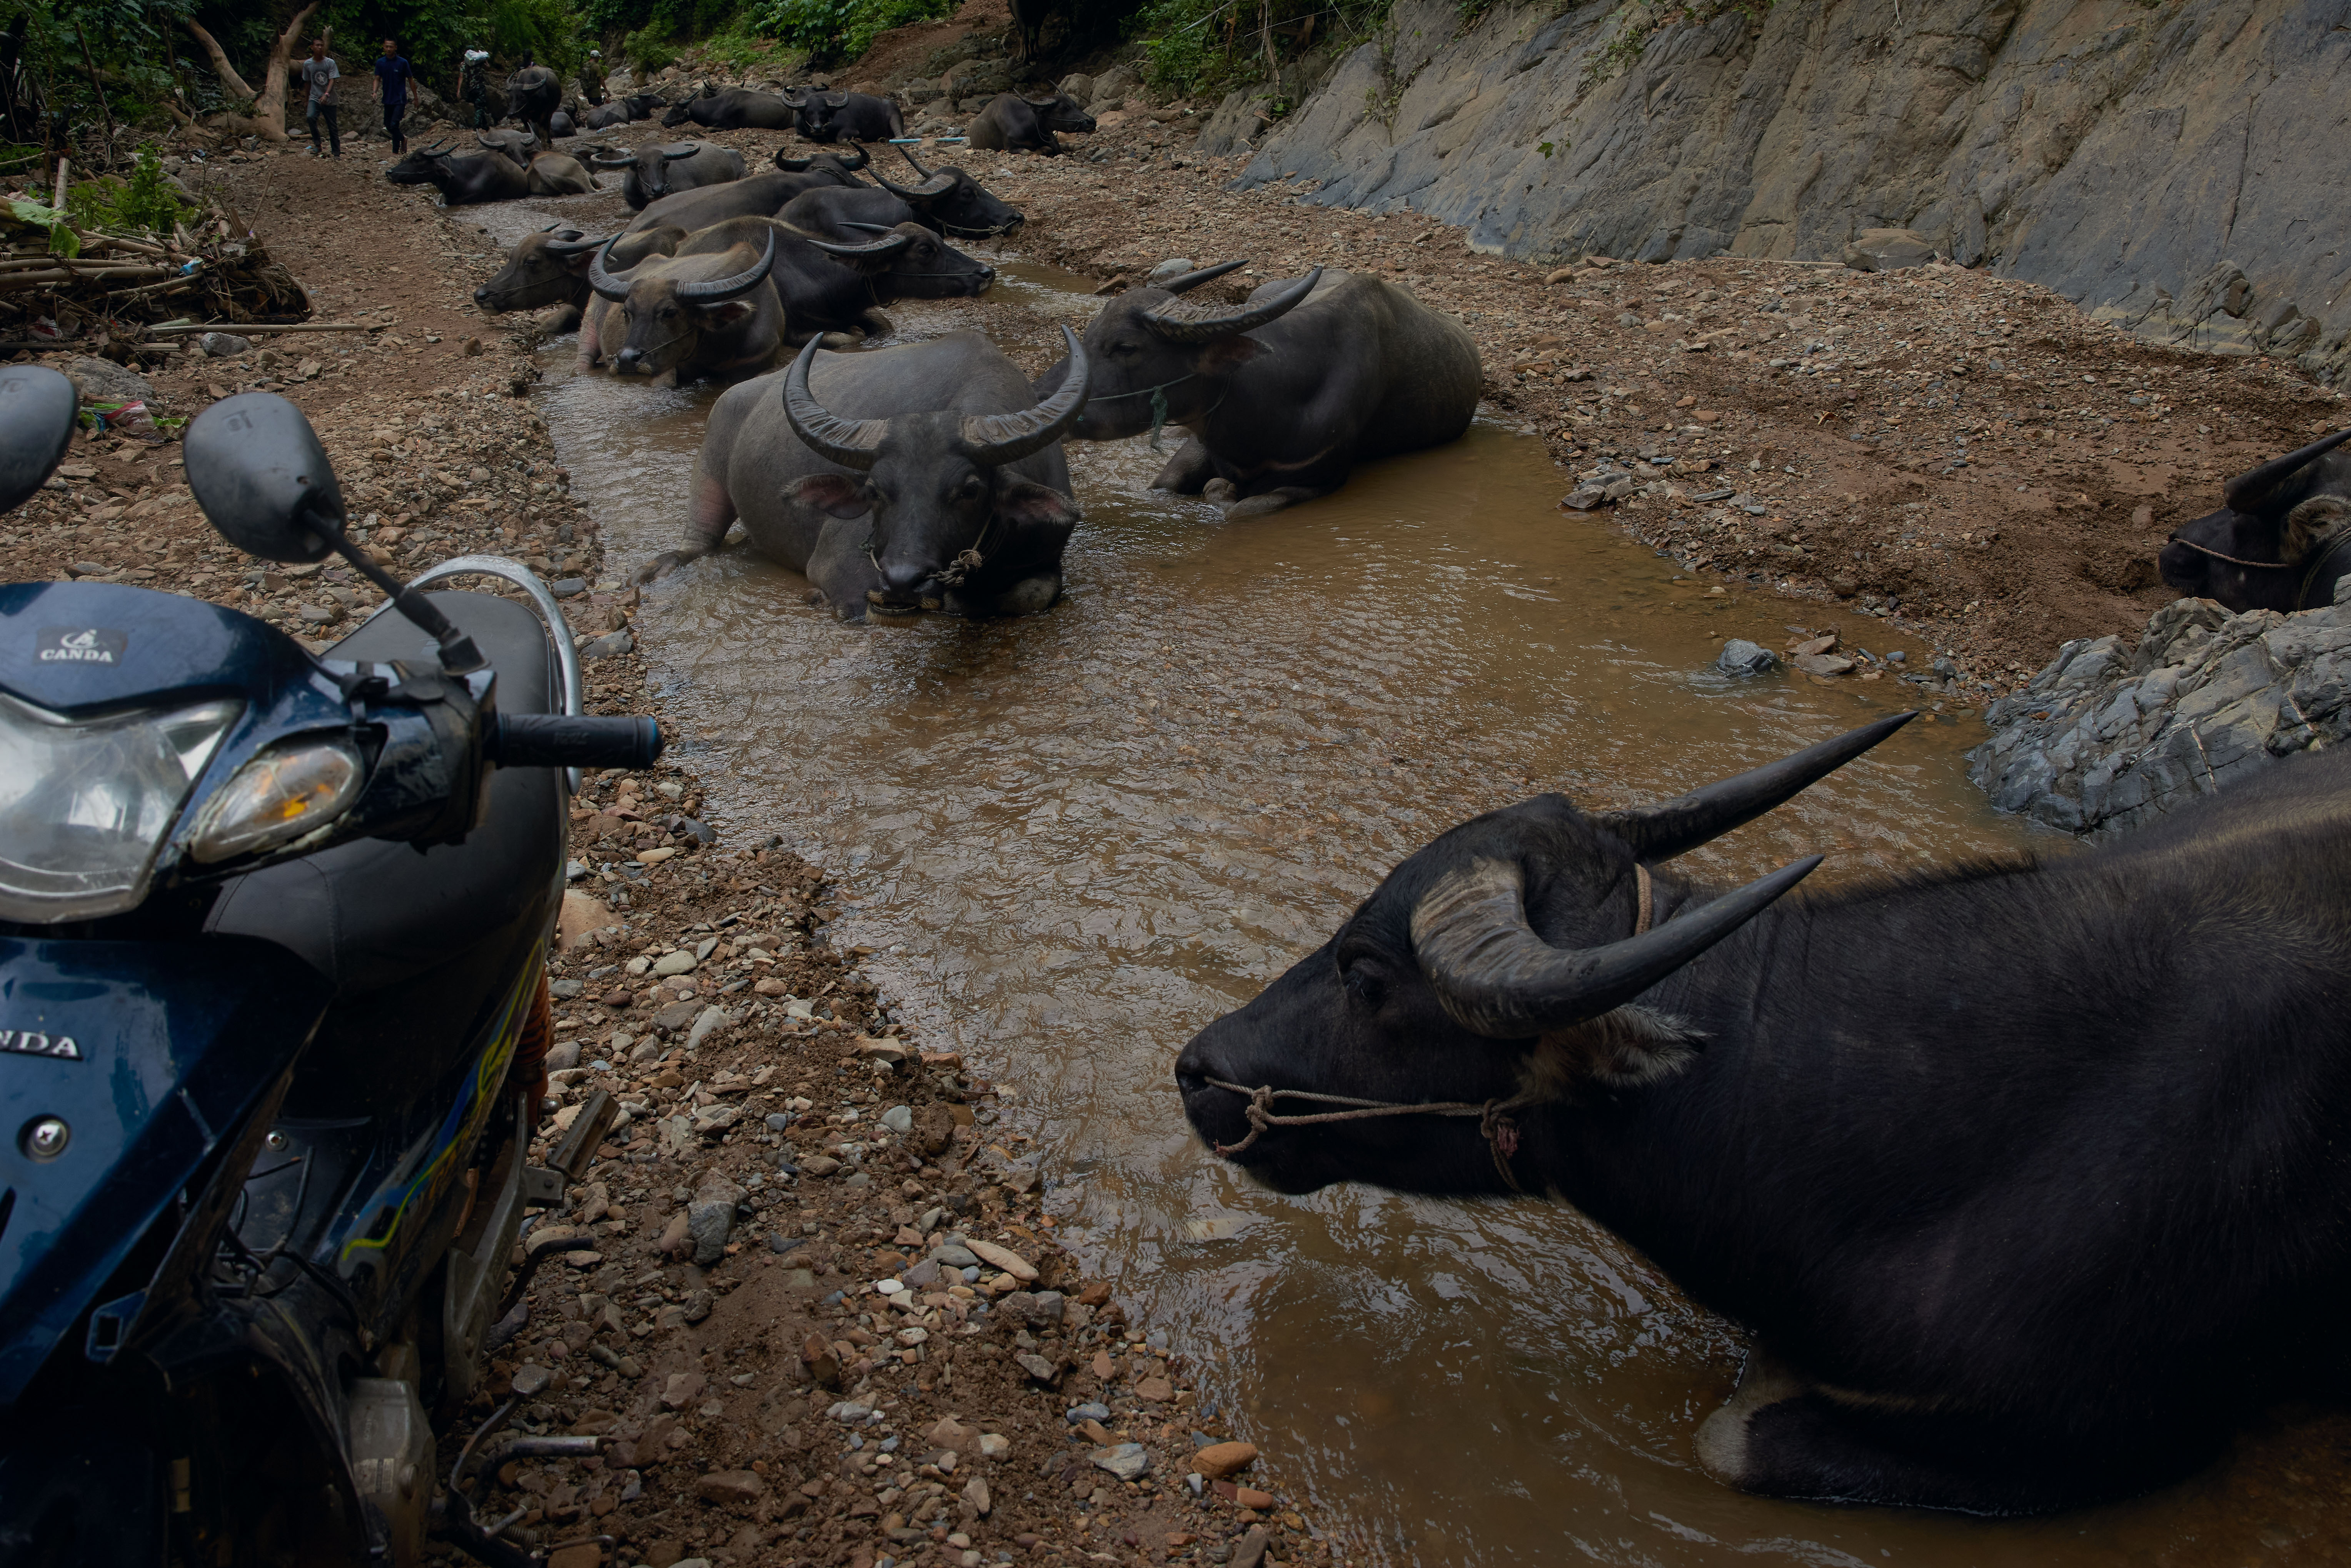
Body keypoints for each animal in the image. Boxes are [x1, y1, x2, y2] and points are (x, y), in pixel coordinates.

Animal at [636, 328, 1089, 620]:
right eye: (874, 491)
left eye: (970, 490)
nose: (903, 581)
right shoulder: (846, 576)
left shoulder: (1047, 558)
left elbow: (1031, 595)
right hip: (710, 462)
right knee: (699, 538)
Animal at [793, 90, 904, 143]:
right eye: (808, 112)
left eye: (824, 112)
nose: (818, 128)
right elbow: (798, 138)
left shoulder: (852, 130)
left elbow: (841, 140)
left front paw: (857, 140)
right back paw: (881, 139)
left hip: (895, 115)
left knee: (899, 134)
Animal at [966, 91, 1093, 155]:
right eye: (1064, 108)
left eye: (1074, 104)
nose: (1091, 121)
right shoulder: (1010, 147)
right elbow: (1028, 152)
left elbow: (1058, 148)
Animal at [1038, 261, 1480, 518]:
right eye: (1090, 333)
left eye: (1126, 347)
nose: (1043, 393)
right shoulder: (1202, 442)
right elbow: (1167, 486)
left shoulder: (1319, 481)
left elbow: (1239, 509)